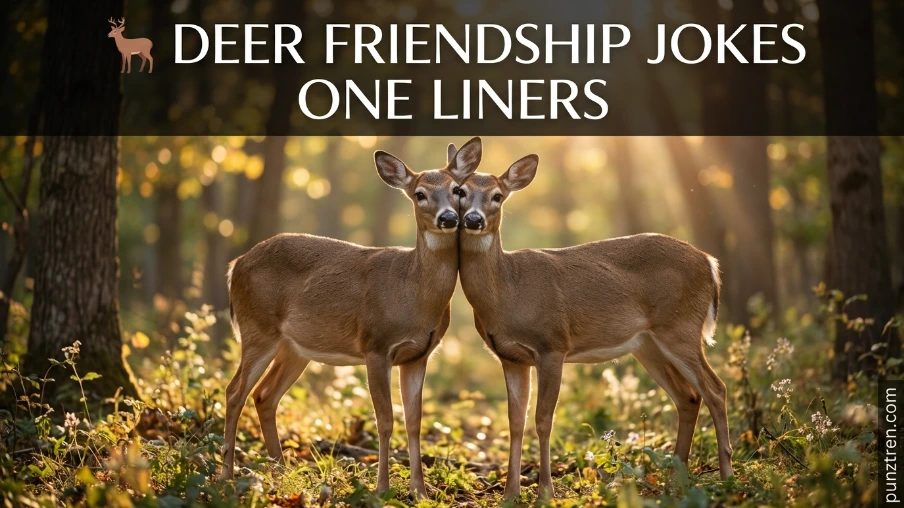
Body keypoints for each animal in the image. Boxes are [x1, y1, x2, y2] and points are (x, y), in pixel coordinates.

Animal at [220, 138, 483, 499]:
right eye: (419, 193)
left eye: (457, 189)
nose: (448, 217)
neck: (413, 292)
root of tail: (236, 265)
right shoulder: (376, 345)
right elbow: (384, 420)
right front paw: (382, 488)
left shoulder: (418, 355)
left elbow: (414, 422)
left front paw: (420, 491)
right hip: (257, 327)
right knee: (235, 391)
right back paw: (227, 475)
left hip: (295, 347)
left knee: (264, 396)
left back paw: (280, 474)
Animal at [455, 152, 733, 500]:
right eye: (461, 192)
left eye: (497, 195)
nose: (473, 220)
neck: (508, 289)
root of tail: (711, 263)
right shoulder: (511, 357)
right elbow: (514, 421)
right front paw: (510, 494)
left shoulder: (552, 345)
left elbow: (543, 419)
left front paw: (545, 491)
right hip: (647, 344)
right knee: (688, 397)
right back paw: (675, 480)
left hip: (680, 327)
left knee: (716, 389)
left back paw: (726, 477)